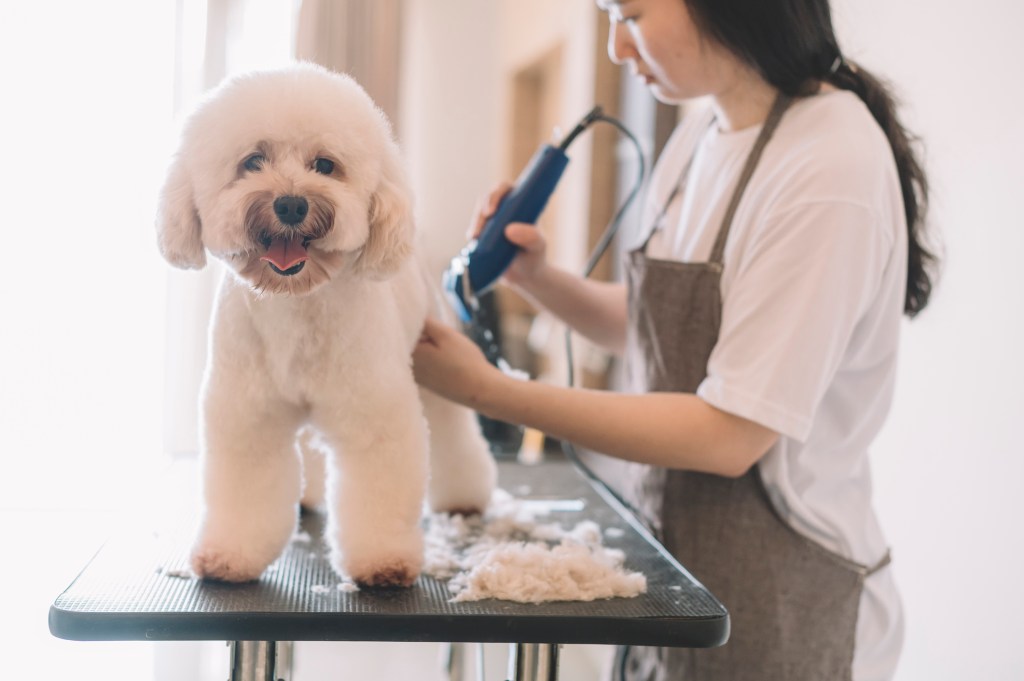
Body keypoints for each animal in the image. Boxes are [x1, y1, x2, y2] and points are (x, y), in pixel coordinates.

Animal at [152, 63, 499, 585]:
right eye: (252, 161)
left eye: (325, 165)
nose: (291, 204)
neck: (295, 305)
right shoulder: (248, 417)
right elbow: (244, 490)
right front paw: (229, 555)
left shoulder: (374, 416)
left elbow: (378, 491)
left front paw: (382, 562)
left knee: (453, 436)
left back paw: (463, 495)